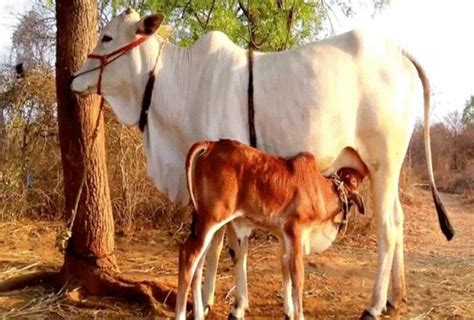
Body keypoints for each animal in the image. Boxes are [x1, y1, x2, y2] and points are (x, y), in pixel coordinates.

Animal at [176, 140, 364, 320]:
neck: (320, 189)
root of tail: (211, 145)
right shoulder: (295, 231)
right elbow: (298, 277)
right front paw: (299, 315)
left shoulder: (284, 236)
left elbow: (285, 270)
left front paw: (289, 312)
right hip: (212, 219)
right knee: (188, 255)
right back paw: (182, 314)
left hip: (204, 225)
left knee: (198, 264)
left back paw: (199, 314)